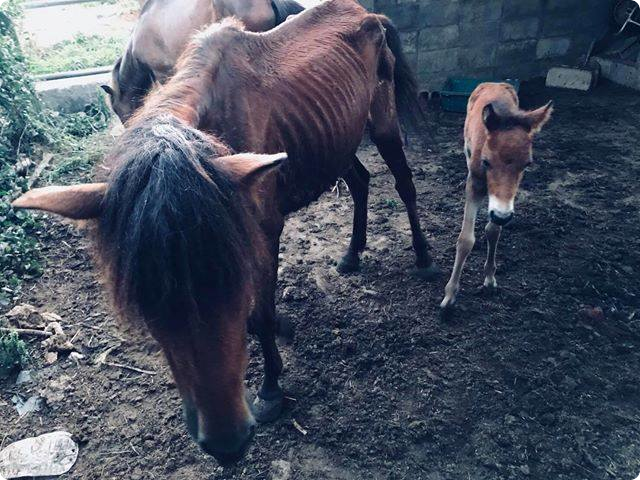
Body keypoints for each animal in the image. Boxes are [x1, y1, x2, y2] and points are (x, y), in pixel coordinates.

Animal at [440, 82, 553, 312]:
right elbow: (465, 240)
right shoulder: (474, 185)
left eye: (527, 164)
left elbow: (493, 230)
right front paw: (450, 295)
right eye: (486, 161)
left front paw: (490, 279)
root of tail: (494, 83)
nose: (502, 215)